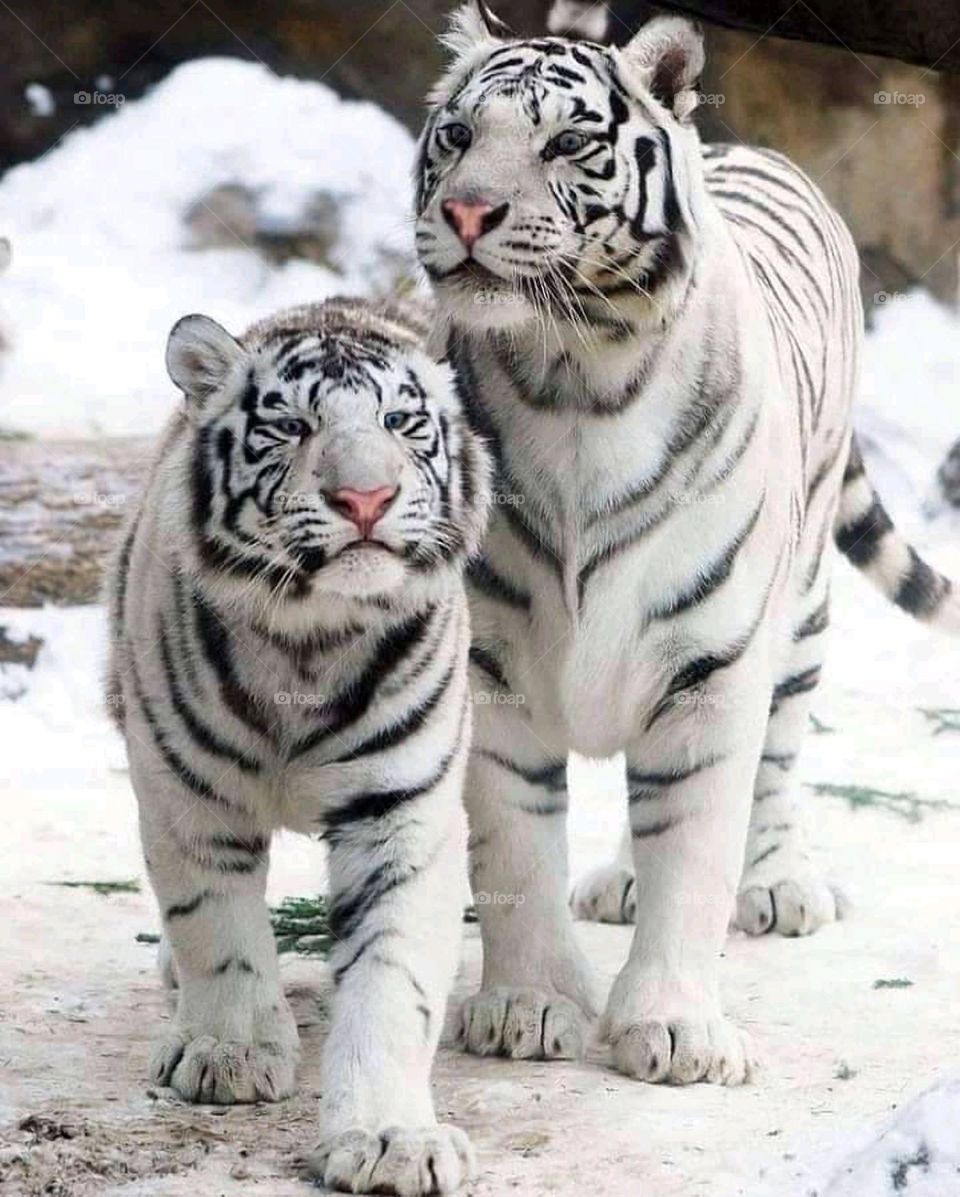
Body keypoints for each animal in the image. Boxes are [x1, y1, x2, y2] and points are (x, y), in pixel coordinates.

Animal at [105, 296, 490, 1195]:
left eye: (401, 421)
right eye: (289, 425)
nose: (366, 498)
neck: (310, 639)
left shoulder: (401, 811)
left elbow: (391, 980)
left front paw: (391, 1138)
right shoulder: (188, 795)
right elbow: (215, 927)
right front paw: (230, 1053)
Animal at [413, 3, 960, 1087]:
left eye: (563, 143)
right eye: (456, 135)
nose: (466, 213)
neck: (572, 375)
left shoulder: (710, 664)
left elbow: (698, 852)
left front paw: (673, 1030)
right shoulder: (494, 668)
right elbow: (515, 849)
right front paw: (527, 1007)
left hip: (801, 607)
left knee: (779, 756)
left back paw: (783, 884)